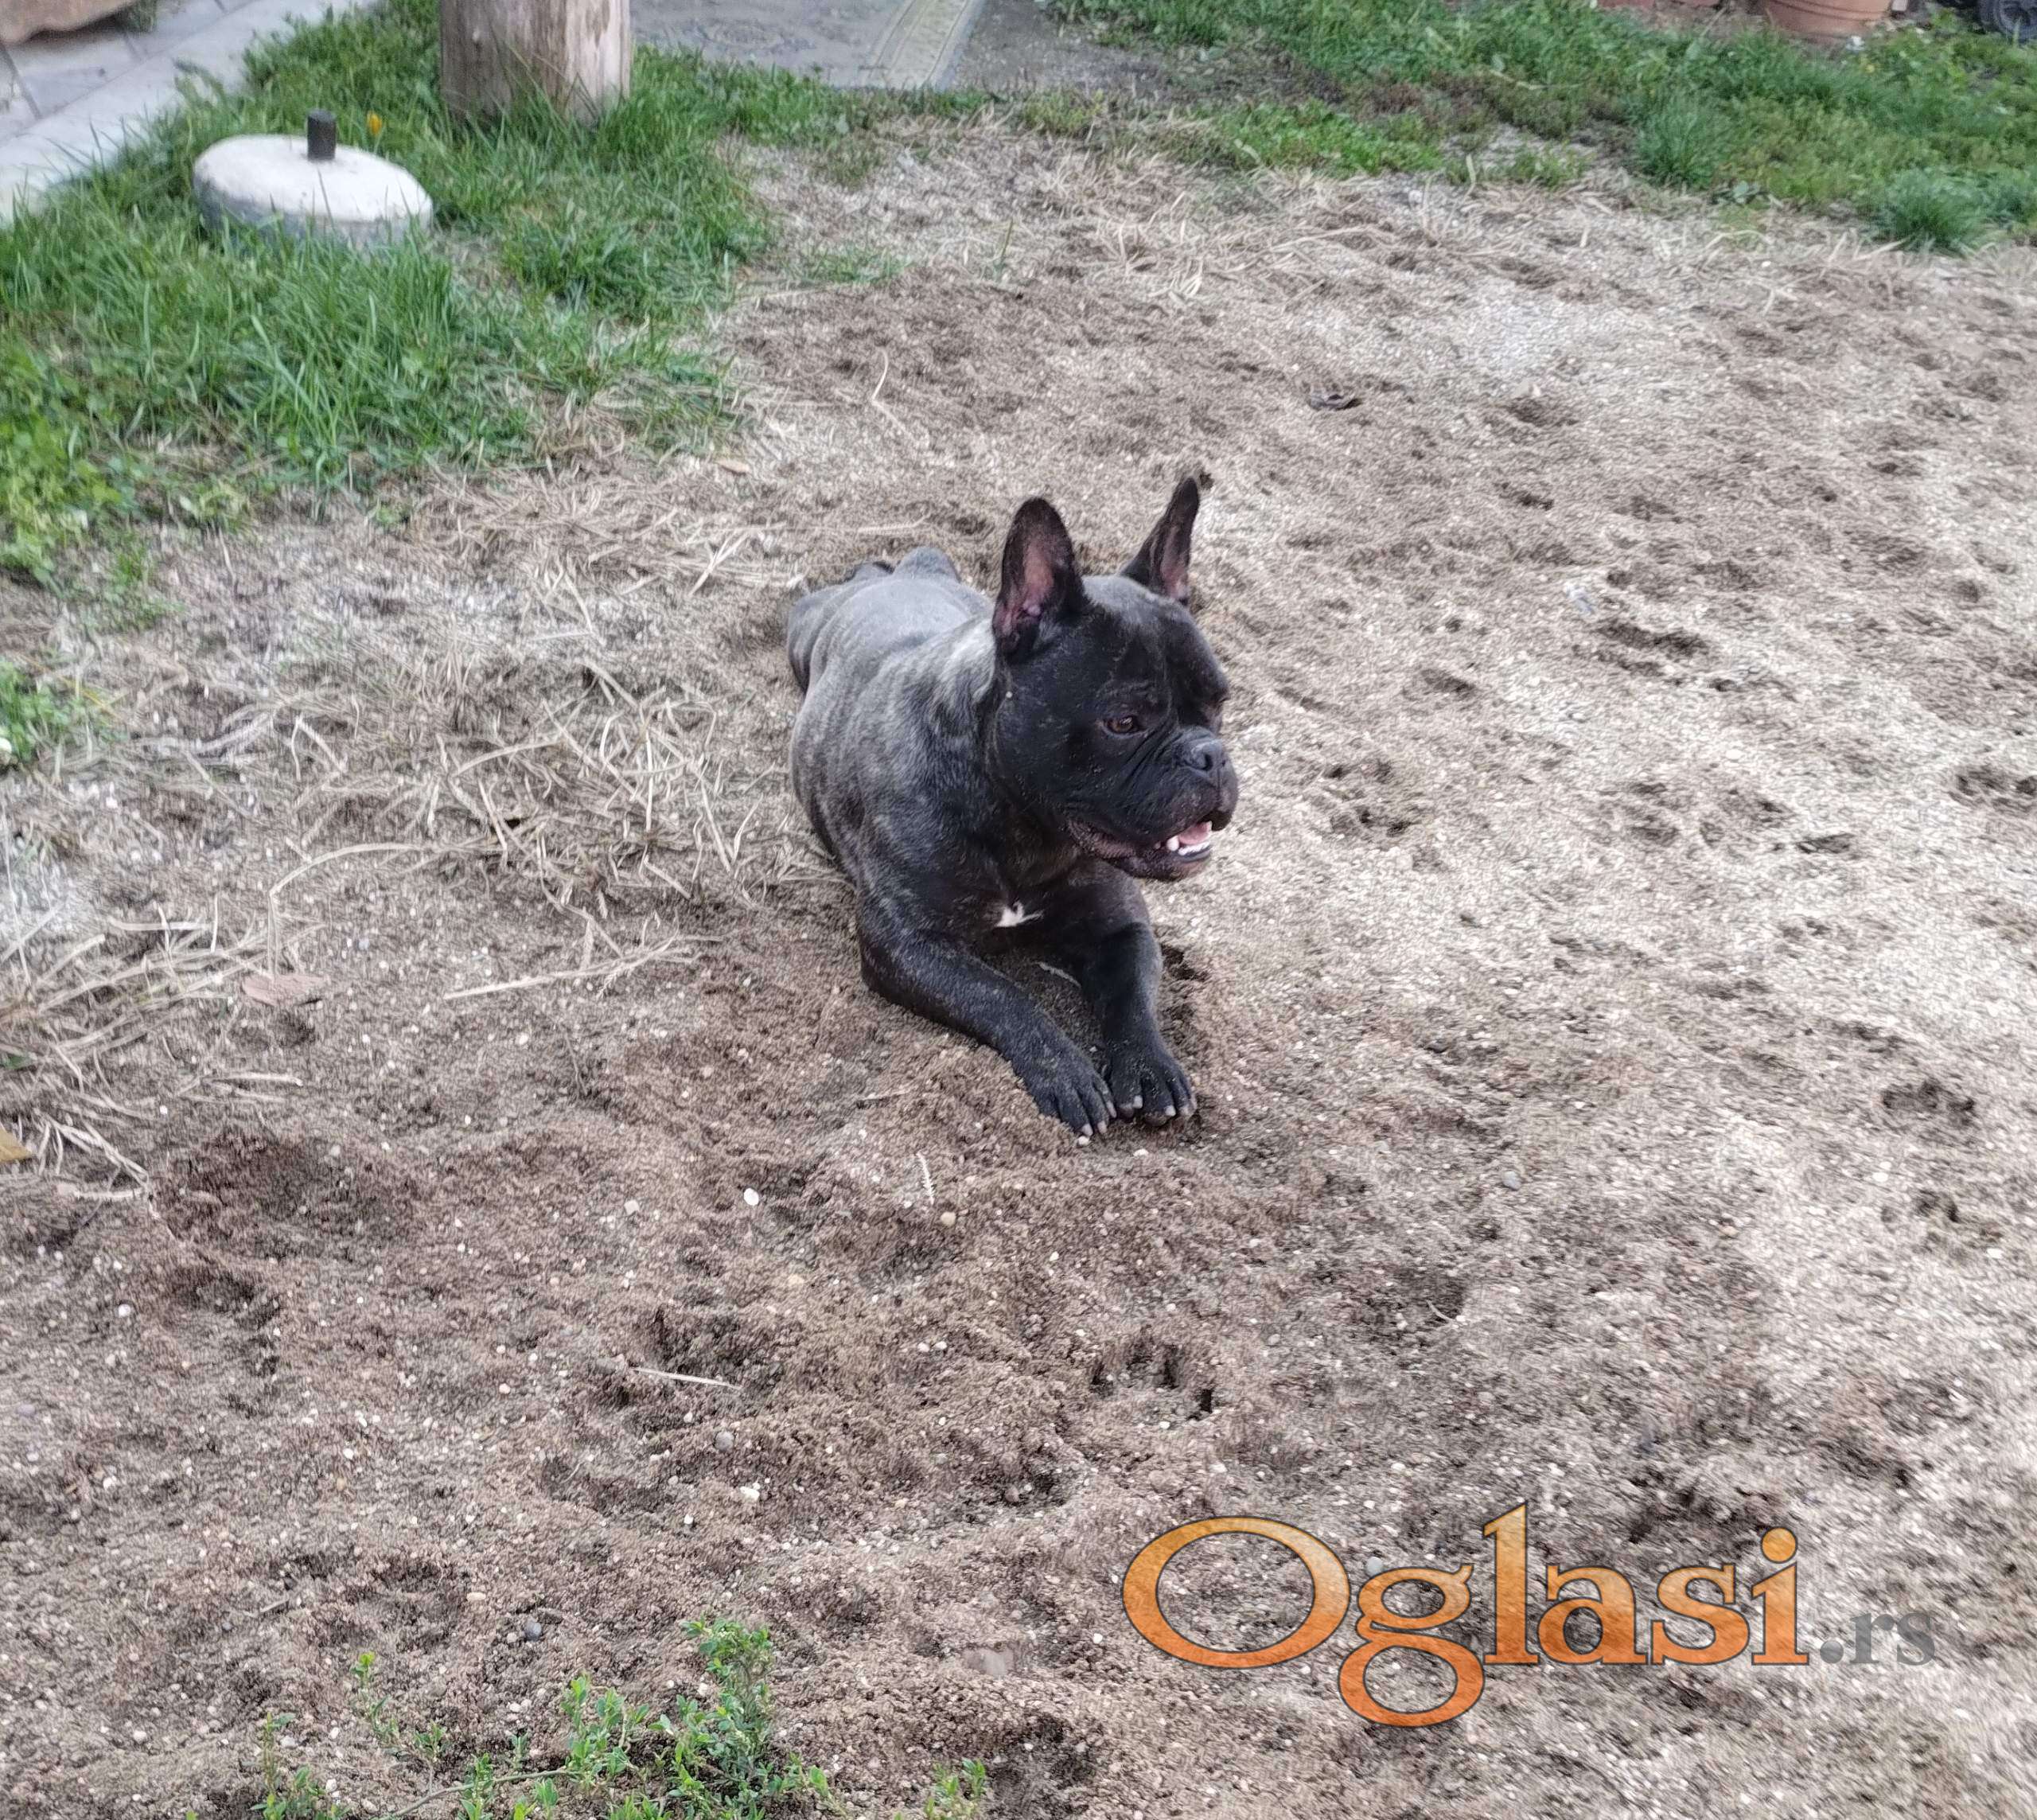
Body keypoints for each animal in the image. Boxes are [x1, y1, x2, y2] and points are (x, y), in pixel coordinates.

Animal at [787, 477, 1238, 1135]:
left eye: (1220, 703)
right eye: (1124, 722)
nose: (1211, 755)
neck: (1022, 823)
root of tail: (900, 574)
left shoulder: (1122, 925)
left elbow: (1133, 995)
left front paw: (1150, 1064)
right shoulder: (905, 943)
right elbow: (1003, 994)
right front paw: (1065, 1069)